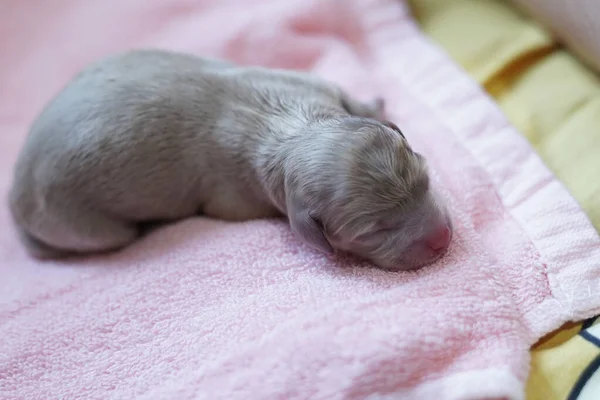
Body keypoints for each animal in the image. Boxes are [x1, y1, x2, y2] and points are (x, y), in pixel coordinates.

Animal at [8, 48, 450, 270]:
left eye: (426, 181)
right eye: (373, 231)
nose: (443, 239)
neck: (291, 130)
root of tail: (14, 198)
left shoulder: (309, 83)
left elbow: (351, 99)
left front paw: (374, 103)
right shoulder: (236, 197)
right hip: (81, 223)